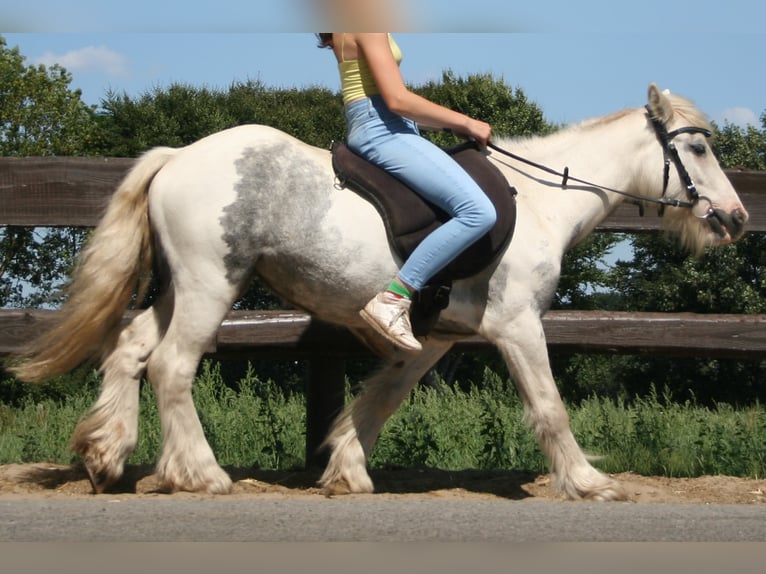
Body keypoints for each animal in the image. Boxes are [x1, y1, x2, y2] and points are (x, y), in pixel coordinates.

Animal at [7, 83, 752, 502]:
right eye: (700, 150)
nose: (737, 218)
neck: (542, 201)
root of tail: (179, 157)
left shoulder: (434, 338)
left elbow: (379, 400)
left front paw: (346, 471)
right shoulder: (516, 326)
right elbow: (549, 406)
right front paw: (589, 483)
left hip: (184, 287)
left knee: (131, 349)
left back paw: (106, 456)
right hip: (209, 283)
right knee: (171, 366)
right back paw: (202, 474)